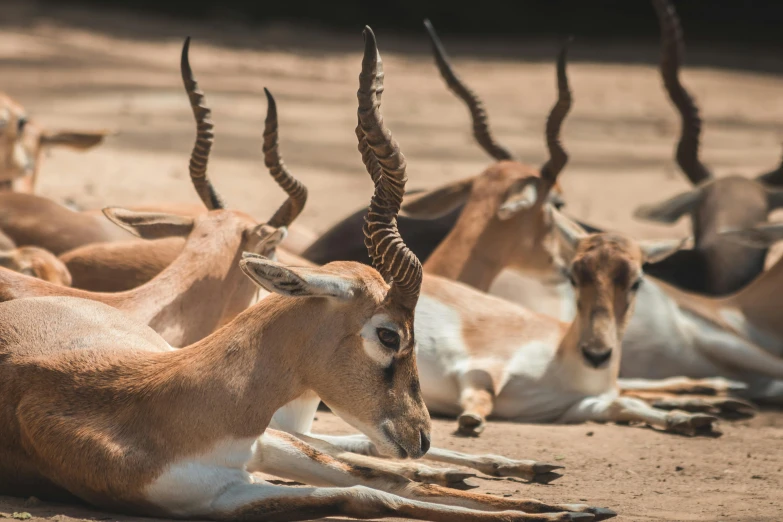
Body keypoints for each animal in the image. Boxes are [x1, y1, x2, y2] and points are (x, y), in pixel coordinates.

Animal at [0, 29, 616, 520]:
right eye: (389, 334)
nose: (420, 433)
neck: (162, 405)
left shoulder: (263, 449)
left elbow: (386, 481)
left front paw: (567, 504)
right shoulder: (219, 499)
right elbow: (374, 497)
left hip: (282, 441)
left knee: (384, 467)